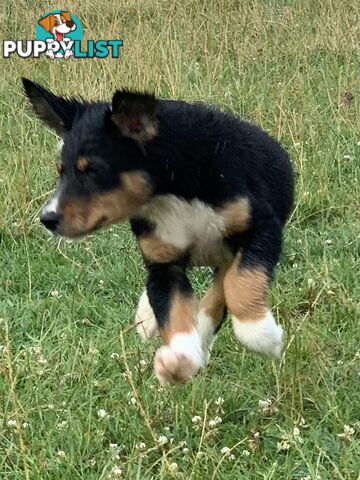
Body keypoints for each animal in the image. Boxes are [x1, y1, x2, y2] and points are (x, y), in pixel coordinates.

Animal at [22, 79, 294, 386]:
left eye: (93, 169)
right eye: (61, 171)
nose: (48, 218)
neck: (173, 189)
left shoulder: (262, 228)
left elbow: (241, 285)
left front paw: (262, 336)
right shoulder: (164, 263)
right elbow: (172, 308)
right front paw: (179, 359)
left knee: (222, 288)